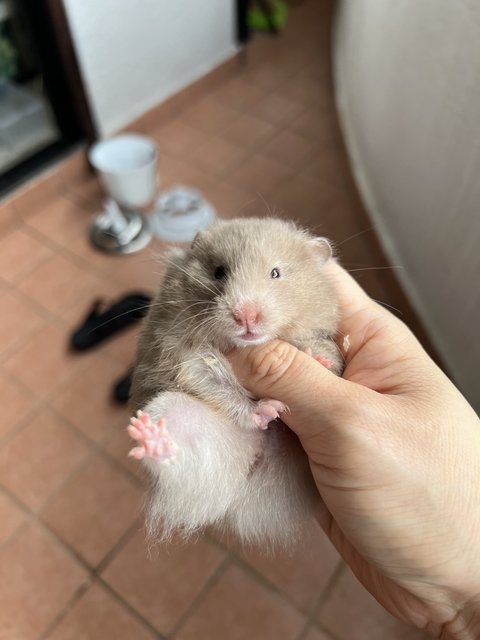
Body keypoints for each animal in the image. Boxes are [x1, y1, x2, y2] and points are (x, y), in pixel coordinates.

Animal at [129, 218, 344, 548]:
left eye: (276, 273)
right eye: (219, 271)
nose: (245, 316)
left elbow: (328, 357)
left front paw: (315, 360)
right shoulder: (185, 357)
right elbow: (219, 388)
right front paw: (263, 410)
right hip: (177, 418)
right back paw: (152, 437)